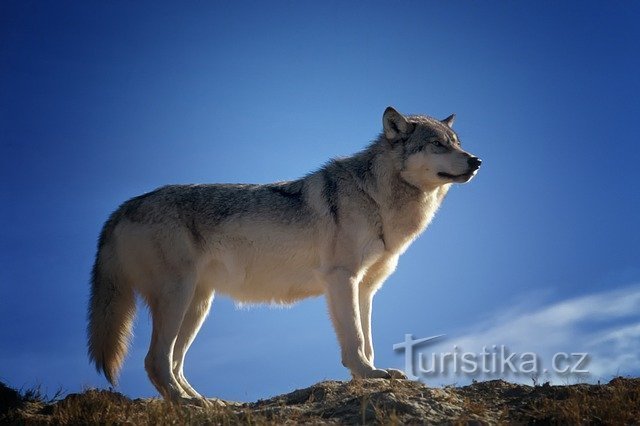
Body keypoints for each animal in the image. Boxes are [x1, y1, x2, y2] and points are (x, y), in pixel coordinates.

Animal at [87, 105, 482, 402]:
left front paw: (371, 375)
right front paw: (368, 375)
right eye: (437, 145)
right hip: (178, 298)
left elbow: (367, 340)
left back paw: (205, 401)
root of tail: (122, 208)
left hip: (198, 306)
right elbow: (354, 339)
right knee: (155, 361)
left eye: (456, 143)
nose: (476, 161)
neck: (375, 197)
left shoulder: (366, 288)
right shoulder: (342, 279)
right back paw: (186, 404)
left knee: (174, 363)